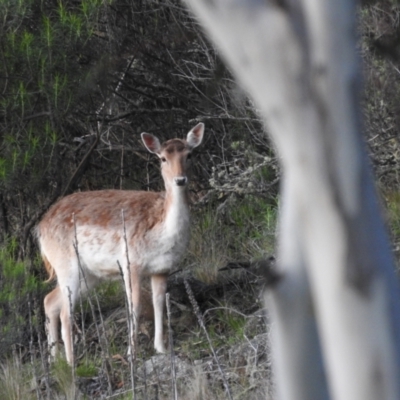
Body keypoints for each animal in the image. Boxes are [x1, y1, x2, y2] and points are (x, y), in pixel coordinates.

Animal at [36, 123, 205, 364]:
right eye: (162, 158)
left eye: (189, 154)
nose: (180, 180)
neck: (162, 233)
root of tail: (40, 229)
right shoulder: (130, 263)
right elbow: (135, 305)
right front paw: (132, 354)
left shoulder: (162, 269)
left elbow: (159, 303)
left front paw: (161, 348)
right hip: (66, 264)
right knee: (65, 312)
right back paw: (71, 362)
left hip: (88, 275)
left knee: (50, 301)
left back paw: (54, 360)